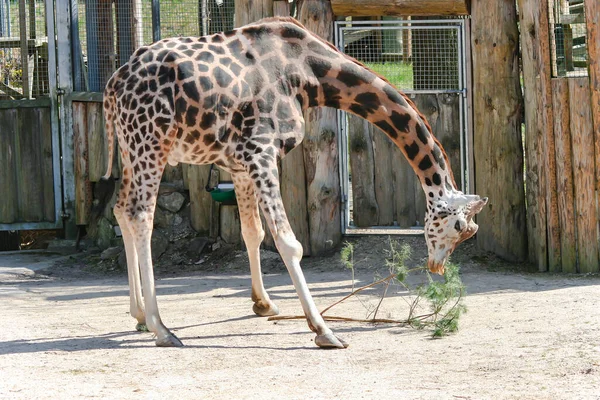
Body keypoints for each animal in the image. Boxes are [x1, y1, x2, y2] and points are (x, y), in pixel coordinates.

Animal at [103, 16, 488, 346]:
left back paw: (139, 315)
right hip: (151, 143)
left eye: (471, 232)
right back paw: (162, 329)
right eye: (457, 227)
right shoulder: (261, 151)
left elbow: (253, 232)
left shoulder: (239, 163)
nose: (437, 267)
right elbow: (290, 243)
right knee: (141, 214)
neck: (309, 72)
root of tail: (112, 87)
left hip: (130, 147)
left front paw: (264, 304)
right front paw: (324, 330)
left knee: (121, 208)